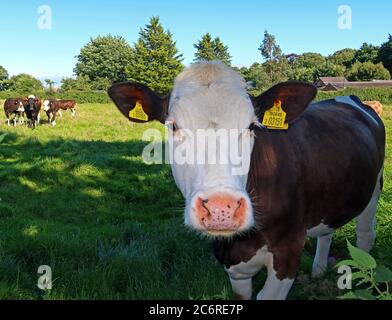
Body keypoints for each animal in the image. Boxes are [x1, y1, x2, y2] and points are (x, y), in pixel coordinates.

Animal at [108, 60, 384, 300]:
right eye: (173, 126)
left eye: (252, 126)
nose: (221, 208)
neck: (237, 245)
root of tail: (350, 98)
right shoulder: (235, 269)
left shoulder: (289, 249)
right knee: (326, 231)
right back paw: (318, 270)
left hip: (374, 189)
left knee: (365, 237)